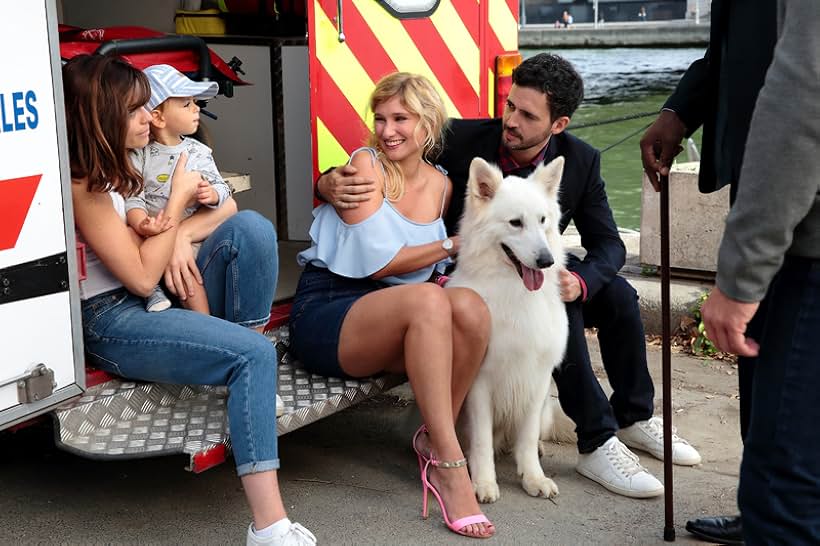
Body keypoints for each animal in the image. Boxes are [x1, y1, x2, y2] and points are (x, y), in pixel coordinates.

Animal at [448, 155, 572, 500]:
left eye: (543, 220)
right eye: (515, 223)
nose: (545, 261)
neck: (514, 291)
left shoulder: (537, 379)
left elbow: (526, 438)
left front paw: (533, 477)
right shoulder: (480, 383)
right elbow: (481, 441)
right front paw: (483, 482)